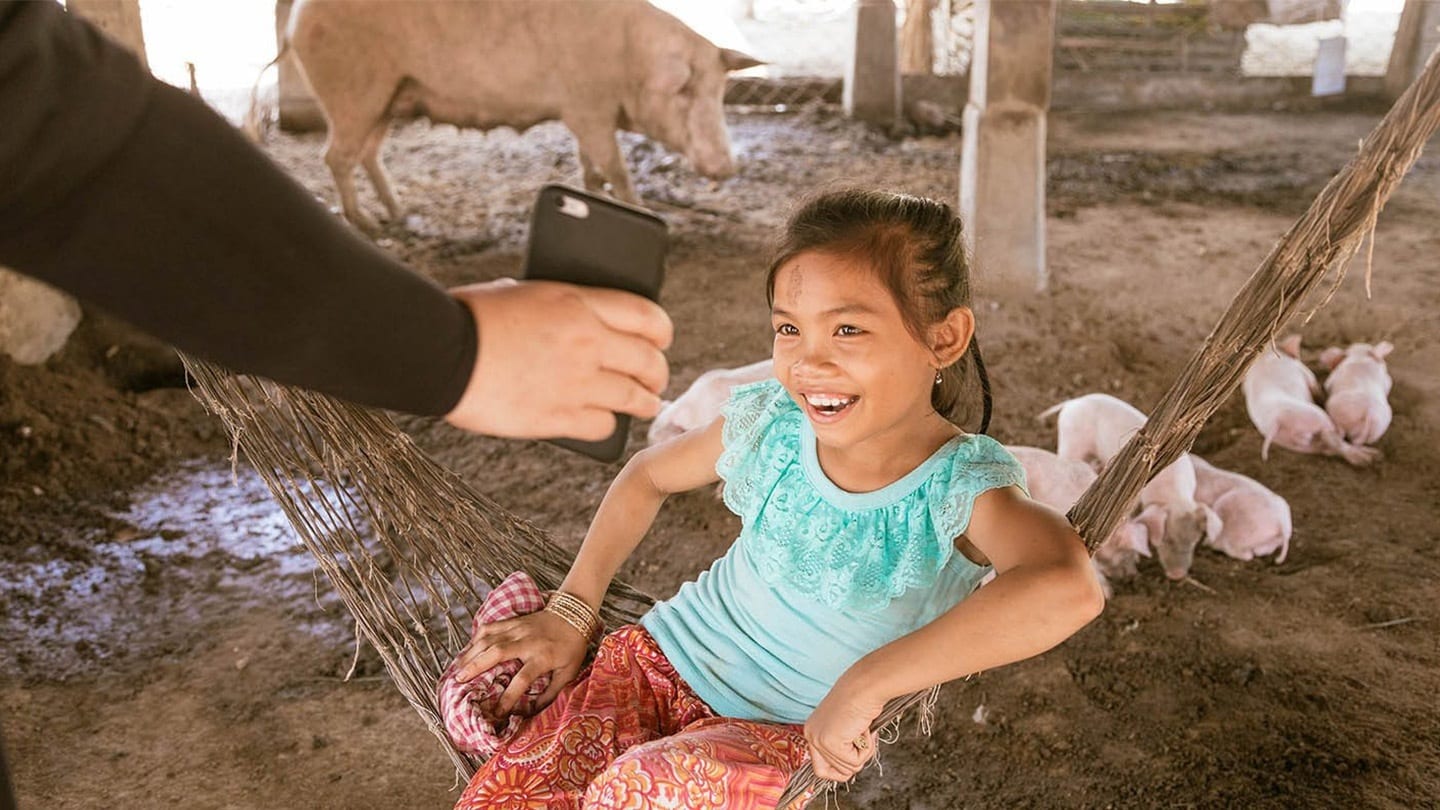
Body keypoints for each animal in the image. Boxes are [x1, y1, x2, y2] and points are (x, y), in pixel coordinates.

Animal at [275, 0, 760, 230]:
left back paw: (398, 212)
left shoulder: (586, 112)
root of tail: (296, 19)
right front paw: (642, 209)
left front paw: (594, 192)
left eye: (719, 91)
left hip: (389, 98)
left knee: (368, 154)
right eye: (684, 91)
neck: (630, 61)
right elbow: (616, 166)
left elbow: (590, 162)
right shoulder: (586, 106)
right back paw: (367, 223)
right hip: (353, 94)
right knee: (334, 157)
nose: (727, 167)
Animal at [1036, 392, 1215, 576]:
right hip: (1071, 441)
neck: (1175, 496)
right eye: (1167, 539)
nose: (1177, 576)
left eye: (1194, 542)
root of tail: (1074, 402)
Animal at [1238, 331, 1382, 464]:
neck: (1263, 359)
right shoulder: (1305, 372)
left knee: (1327, 449)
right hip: (1316, 417)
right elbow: (1315, 387)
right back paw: (1370, 457)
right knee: (1333, 439)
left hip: (1293, 443)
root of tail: (1277, 422)